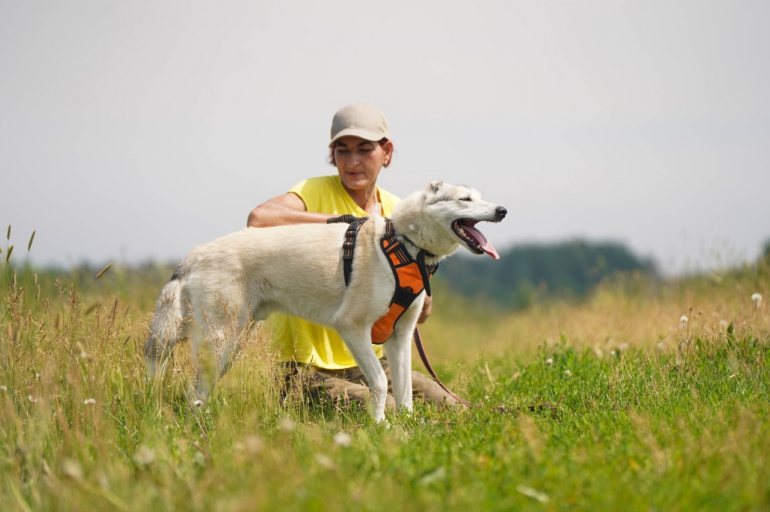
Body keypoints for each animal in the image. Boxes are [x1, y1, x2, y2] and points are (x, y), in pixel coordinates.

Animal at [146, 182, 504, 422]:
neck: (402, 244)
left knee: (199, 389)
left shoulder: (401, 338)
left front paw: (408, 427)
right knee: (194, 390)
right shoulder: (353, 328)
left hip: (232, 339)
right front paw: (381, 427)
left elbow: (403, 391)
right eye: (465, 199)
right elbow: (380, 382)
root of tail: (192, 256)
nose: (502, 210)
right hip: (223, 339)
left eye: (480, 197)